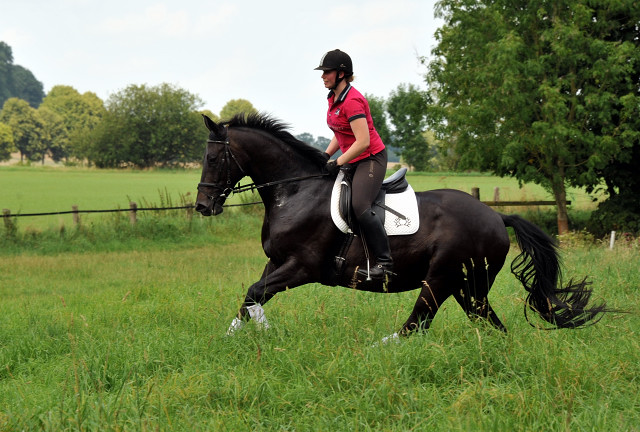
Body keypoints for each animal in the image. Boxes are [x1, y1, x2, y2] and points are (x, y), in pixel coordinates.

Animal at [195, 113, 604, 336]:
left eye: (213, 158)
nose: (202, 206)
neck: (296, 190)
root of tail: (496, 215)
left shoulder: (302, 267)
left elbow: (254, 294)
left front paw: (262, 331)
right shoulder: (276, 262)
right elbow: (250, 297)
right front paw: (234, 337)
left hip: (442, 279)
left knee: (417, 324)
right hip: (469, 286)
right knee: (486, 322)